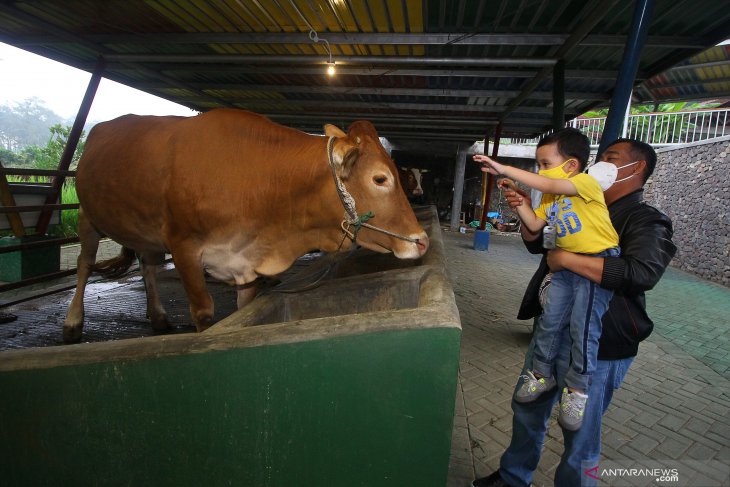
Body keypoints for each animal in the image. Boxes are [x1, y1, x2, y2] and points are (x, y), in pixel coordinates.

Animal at [64, 107, 426, 344]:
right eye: (380, 178)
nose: (421, 240)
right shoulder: (183, 247)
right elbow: (204, 313)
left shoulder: (244, 261)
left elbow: (243, 310)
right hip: (86, 216)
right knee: (84, 264)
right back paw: (72, 322)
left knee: (147, 265)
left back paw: (158, 317)